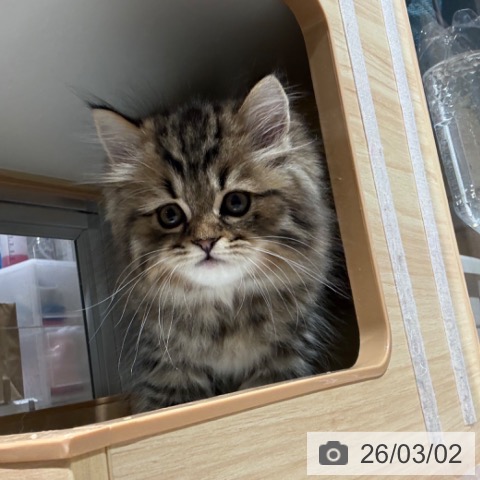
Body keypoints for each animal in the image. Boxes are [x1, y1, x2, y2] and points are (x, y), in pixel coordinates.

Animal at [92, 74, 356, 413]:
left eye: (235, 202)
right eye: (169, 215)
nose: (206, 241)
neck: (225, 318)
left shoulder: (286, 359)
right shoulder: (167, 372)